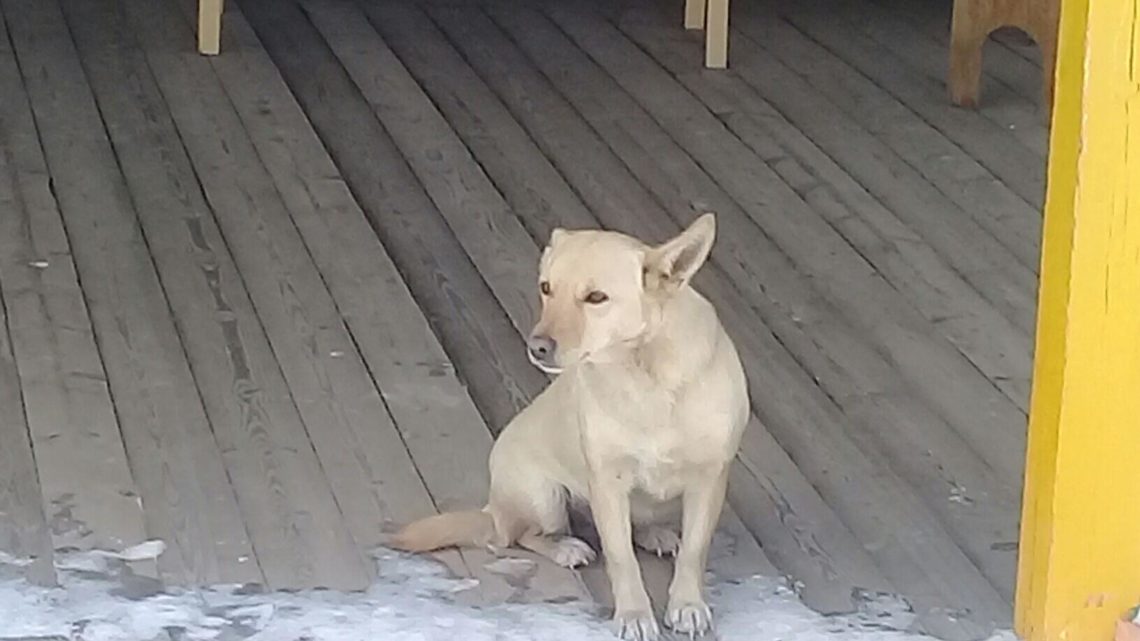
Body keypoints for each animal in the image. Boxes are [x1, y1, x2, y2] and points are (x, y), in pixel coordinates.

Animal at [389, 214, 747, 638]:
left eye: (596, 297)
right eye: (546, 288)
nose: (537, 347)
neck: (645, 377)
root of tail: (493, 506)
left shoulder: (709, 479)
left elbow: (694, 551)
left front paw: (687, 605)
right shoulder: (607, 482)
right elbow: (621, 559)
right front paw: (634, 615)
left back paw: (654, 533)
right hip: (544, 498)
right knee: (516, 536)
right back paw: (565, 547)